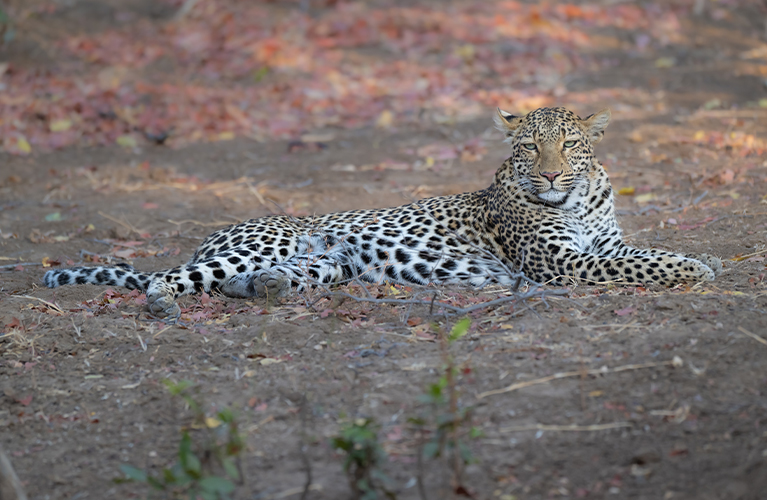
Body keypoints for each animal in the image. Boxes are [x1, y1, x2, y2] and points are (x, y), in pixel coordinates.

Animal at [45, 106, 724, 318]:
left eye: (571, 144)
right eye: (531, 147)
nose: (553, 174)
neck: (578, 199)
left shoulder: (600, 246)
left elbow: (643, 252)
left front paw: (702, 257)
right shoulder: (561, 264)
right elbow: (642, 266)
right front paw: (696, 270)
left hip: (323, 267)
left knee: (252, 282)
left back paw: (262, 291)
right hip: (259, 243)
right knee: (165, 277)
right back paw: (163, 302)